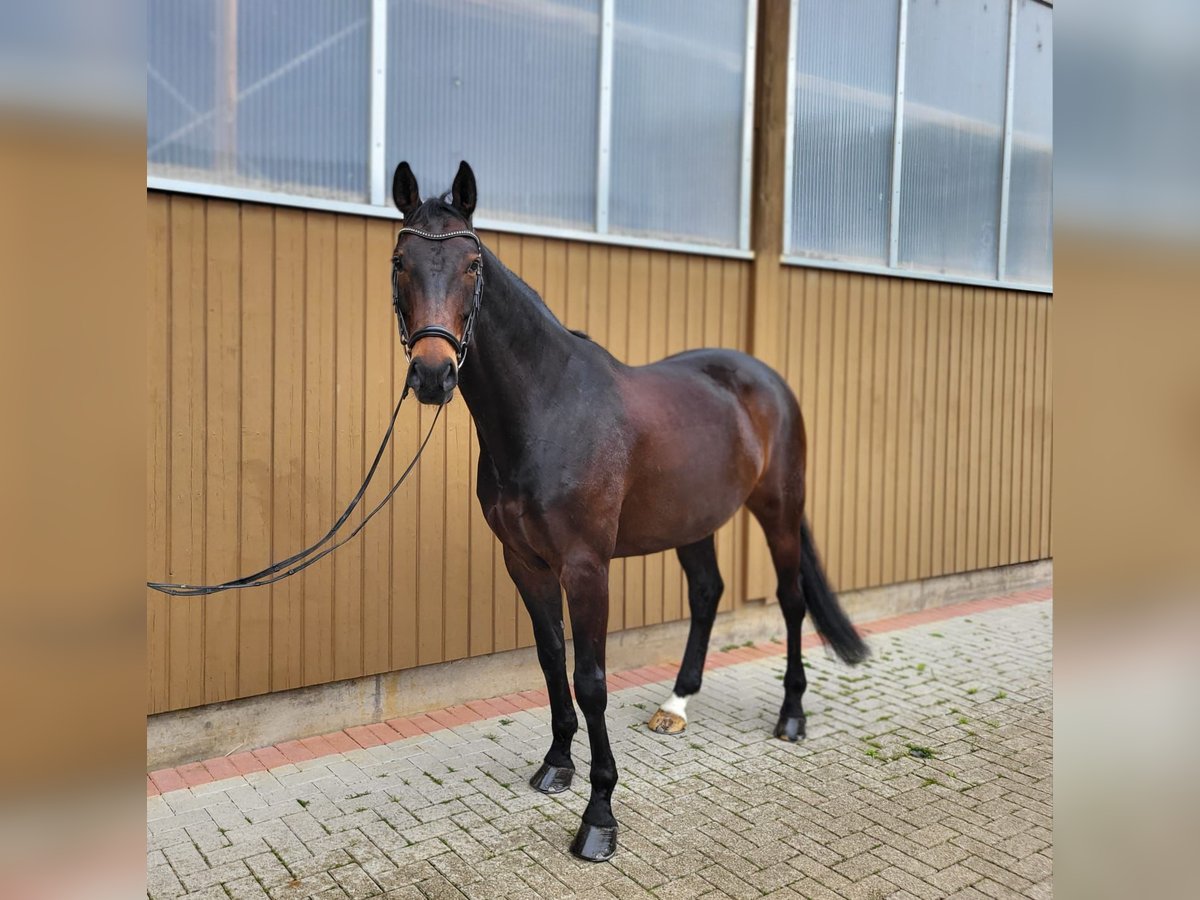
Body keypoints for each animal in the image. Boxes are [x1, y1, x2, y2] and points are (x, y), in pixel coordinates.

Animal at [389, 161, 869, 862]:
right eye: (401, 262)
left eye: (472, 265)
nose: (432, 376)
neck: (548, 409)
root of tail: (765, 379)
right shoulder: (525, 562)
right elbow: (550, 659)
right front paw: (556, 764)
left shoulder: (586, 567)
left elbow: (591, 679)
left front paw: (599, 817)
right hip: (694, 519)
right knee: (707, 592)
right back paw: (678, 704)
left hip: (779, 509)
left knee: (789, 599)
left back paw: (792, 716)